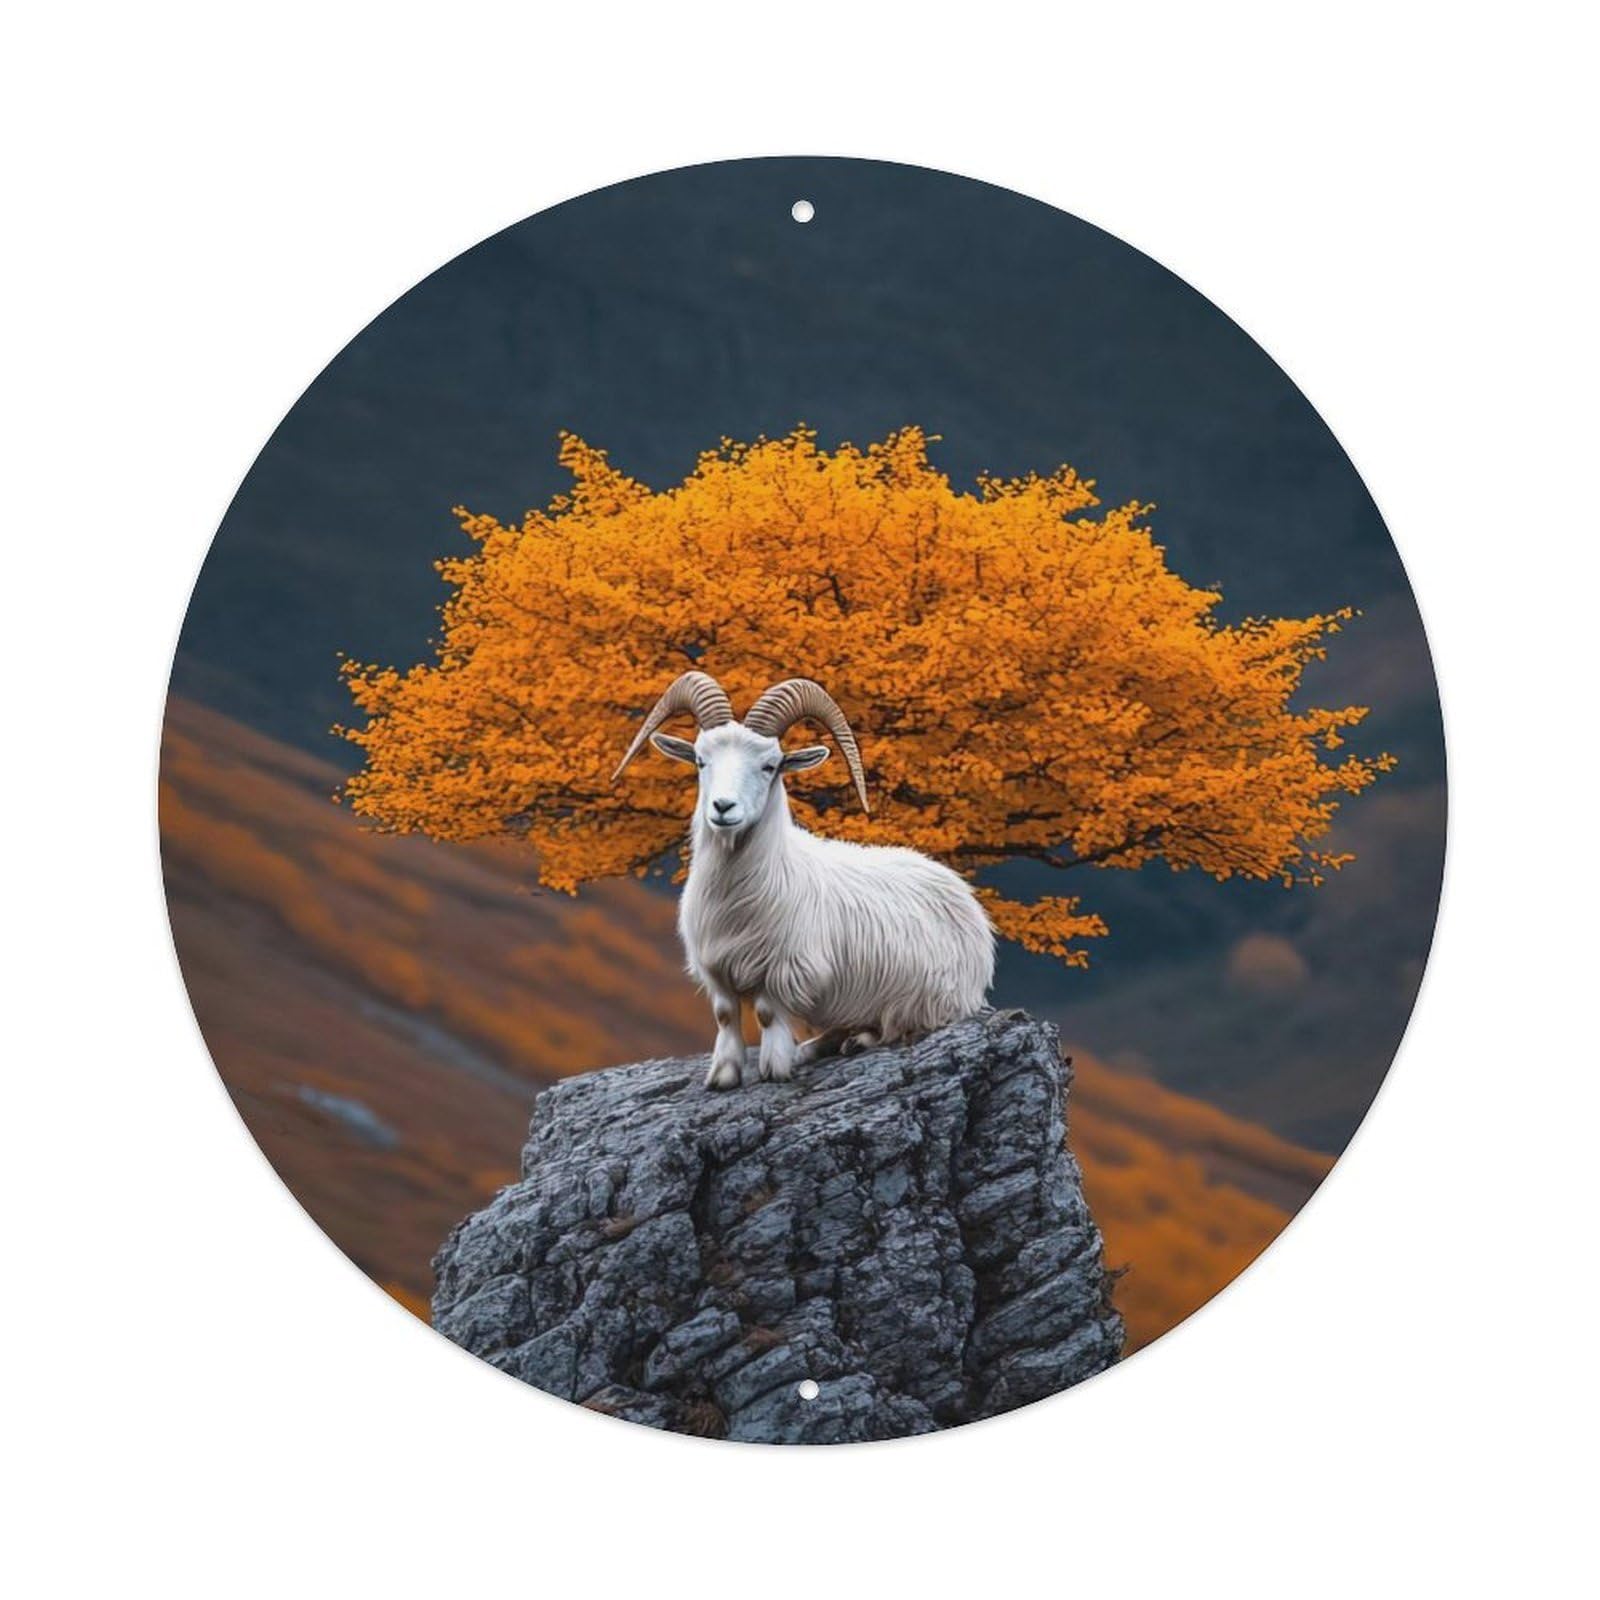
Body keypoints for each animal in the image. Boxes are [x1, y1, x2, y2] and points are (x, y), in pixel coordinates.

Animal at [613, 671, 995, 1089]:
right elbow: (726, 1015)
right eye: (700, 760)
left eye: (770, 766)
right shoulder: (715, 969)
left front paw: (774, 1068)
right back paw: (818, 1047)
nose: (723, 807)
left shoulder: (786, 970)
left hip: (929, 1000)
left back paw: (856, 1041)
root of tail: (962, 893)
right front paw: (724, 1075)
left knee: (897, 1025)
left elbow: (766, 1014)